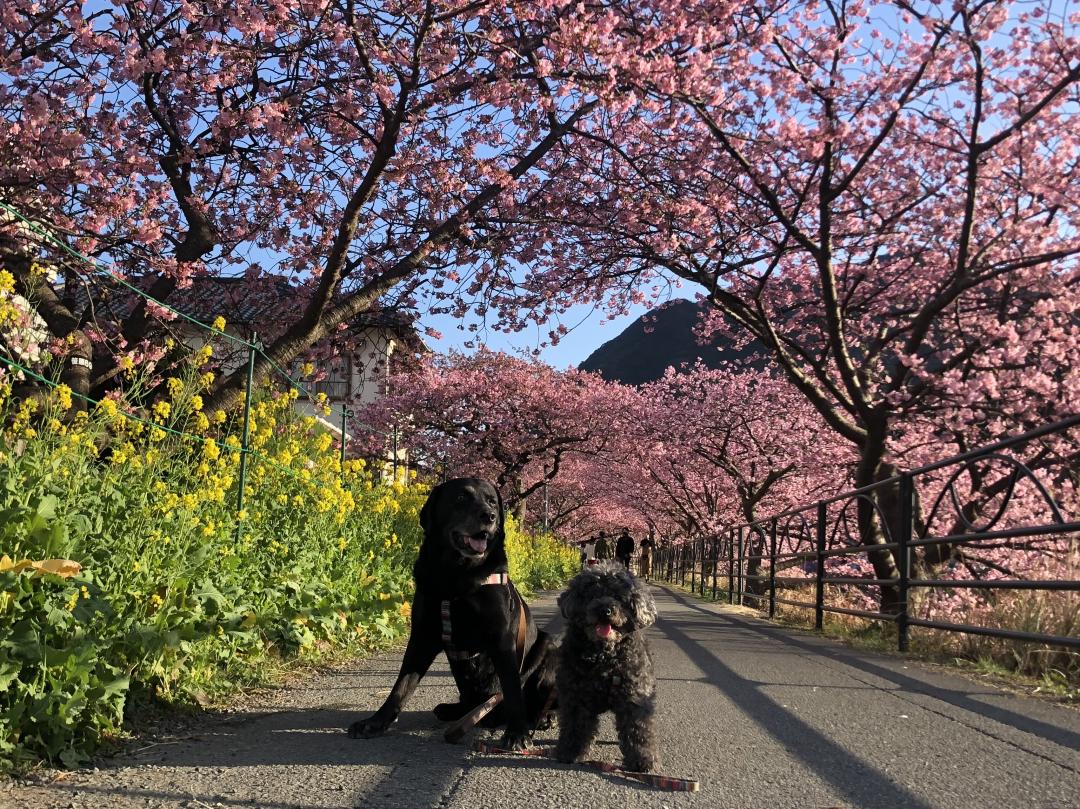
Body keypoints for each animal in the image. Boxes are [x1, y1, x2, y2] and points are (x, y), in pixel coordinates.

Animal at [347, 477, 557, 747]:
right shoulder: (422, 638)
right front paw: (376, 722)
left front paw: (517, 732)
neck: (455, 577)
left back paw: (541, 718)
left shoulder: (502, 640)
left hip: (547, 647)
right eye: (460, 498)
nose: (489, 516)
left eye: (492, 501)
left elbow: (511, 689)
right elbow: (401, 686)